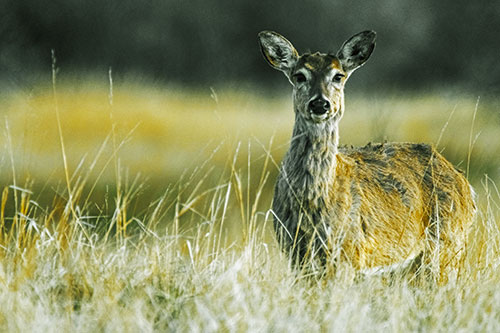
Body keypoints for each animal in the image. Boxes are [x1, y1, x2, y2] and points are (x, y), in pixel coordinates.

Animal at [258, 29, 476, 278]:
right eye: (299, 76)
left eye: (338, 76)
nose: (320, 104)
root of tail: (466, 185)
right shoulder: (294, 253)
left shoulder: (349, 253)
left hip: (447, 246)